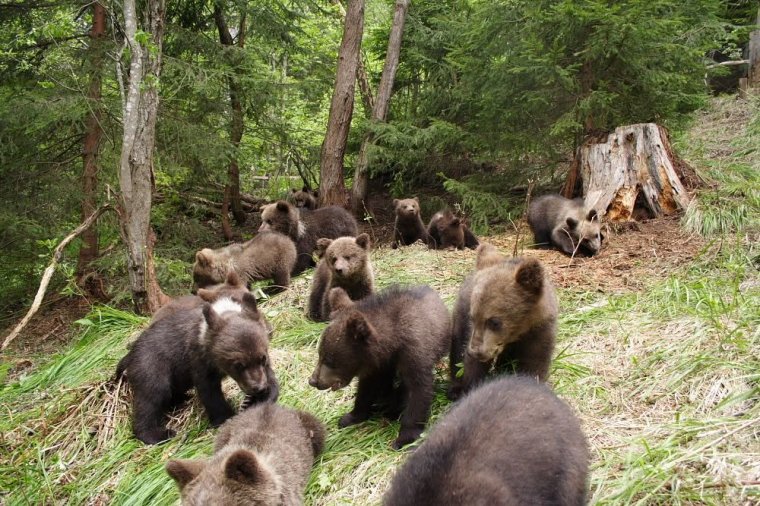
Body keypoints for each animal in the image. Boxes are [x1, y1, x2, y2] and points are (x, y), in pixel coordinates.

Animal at [115, 290, 279, 444]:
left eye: (262, 358)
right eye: (238, 364)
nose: (258, 388)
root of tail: (130, 354)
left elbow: (270, 376)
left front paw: (256, 400)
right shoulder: (200, 361)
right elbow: (210, 392)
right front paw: (226, 416)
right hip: (151, 365)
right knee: (151, 397)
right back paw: (158, 434)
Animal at [308, 285, 450, 449]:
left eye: (330, 359)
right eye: (320, 353)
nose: (313, 381)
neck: (393, 343)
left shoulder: (415, 353)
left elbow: (418, 392)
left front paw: (404, 438)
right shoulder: (376, 366)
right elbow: (366, 388)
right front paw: (351, 417)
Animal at [448, 244, 557, 400]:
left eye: (494, 321)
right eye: (473, 317)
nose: (475, 352)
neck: (520, 330)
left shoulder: (540, 332)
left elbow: (535, 364)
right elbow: (471, 366)